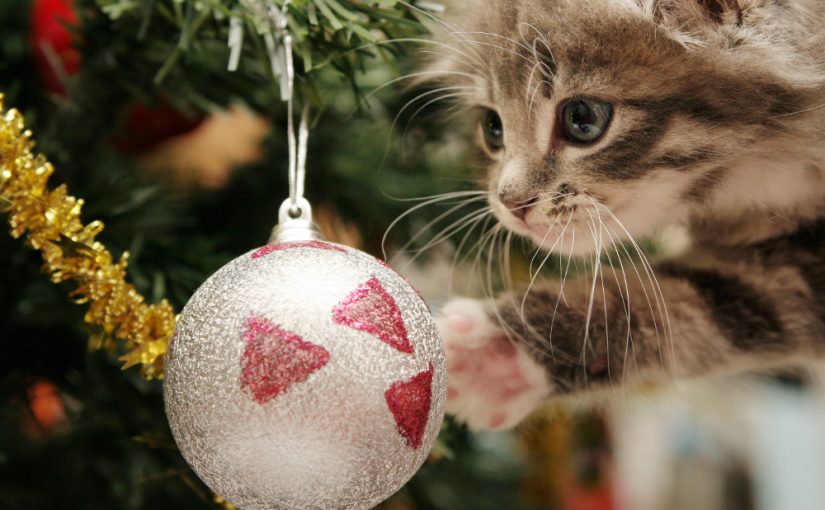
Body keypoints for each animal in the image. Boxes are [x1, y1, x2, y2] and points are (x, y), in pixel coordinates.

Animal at [428, 0, 824, 430]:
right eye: (492, 128)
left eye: (582, 118)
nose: (510, 203)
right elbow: (714, 295)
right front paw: (500, 356)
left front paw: (502, 351)